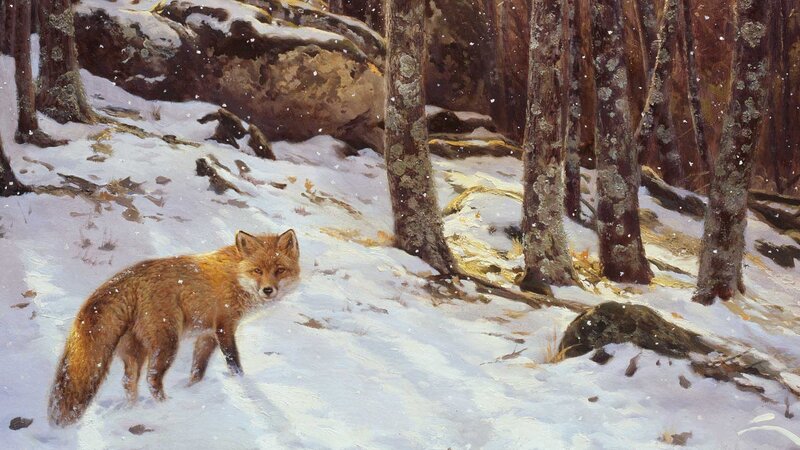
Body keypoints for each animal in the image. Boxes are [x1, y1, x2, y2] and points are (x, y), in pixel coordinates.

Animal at [48, 229, 300, 427]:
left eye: (280, 270)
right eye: (257, 271)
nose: (268, 290)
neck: (236, 276)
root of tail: (129, 276)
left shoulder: (207, 335)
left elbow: (198, 370)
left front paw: (192, 389)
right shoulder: (224, 328)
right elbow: (234, 363)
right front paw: (240, 383)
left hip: (136, 351)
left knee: (129, 382)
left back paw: (132, 410)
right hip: (167, 343)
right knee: (152, 379)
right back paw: (164, 406)